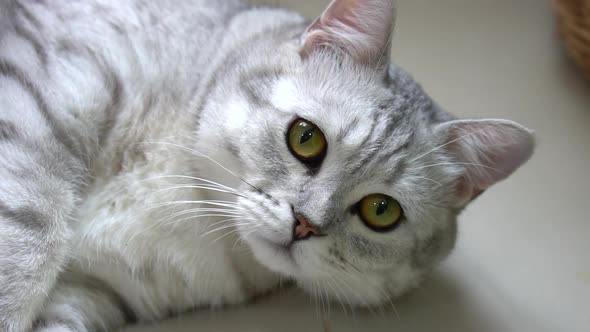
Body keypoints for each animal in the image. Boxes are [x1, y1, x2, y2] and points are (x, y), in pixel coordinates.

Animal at [0, 0, 536, 330]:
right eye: (305, 138)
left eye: (381, 211)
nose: (304, 224)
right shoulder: (44, 94)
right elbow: (25, 245)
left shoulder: (92, 291)